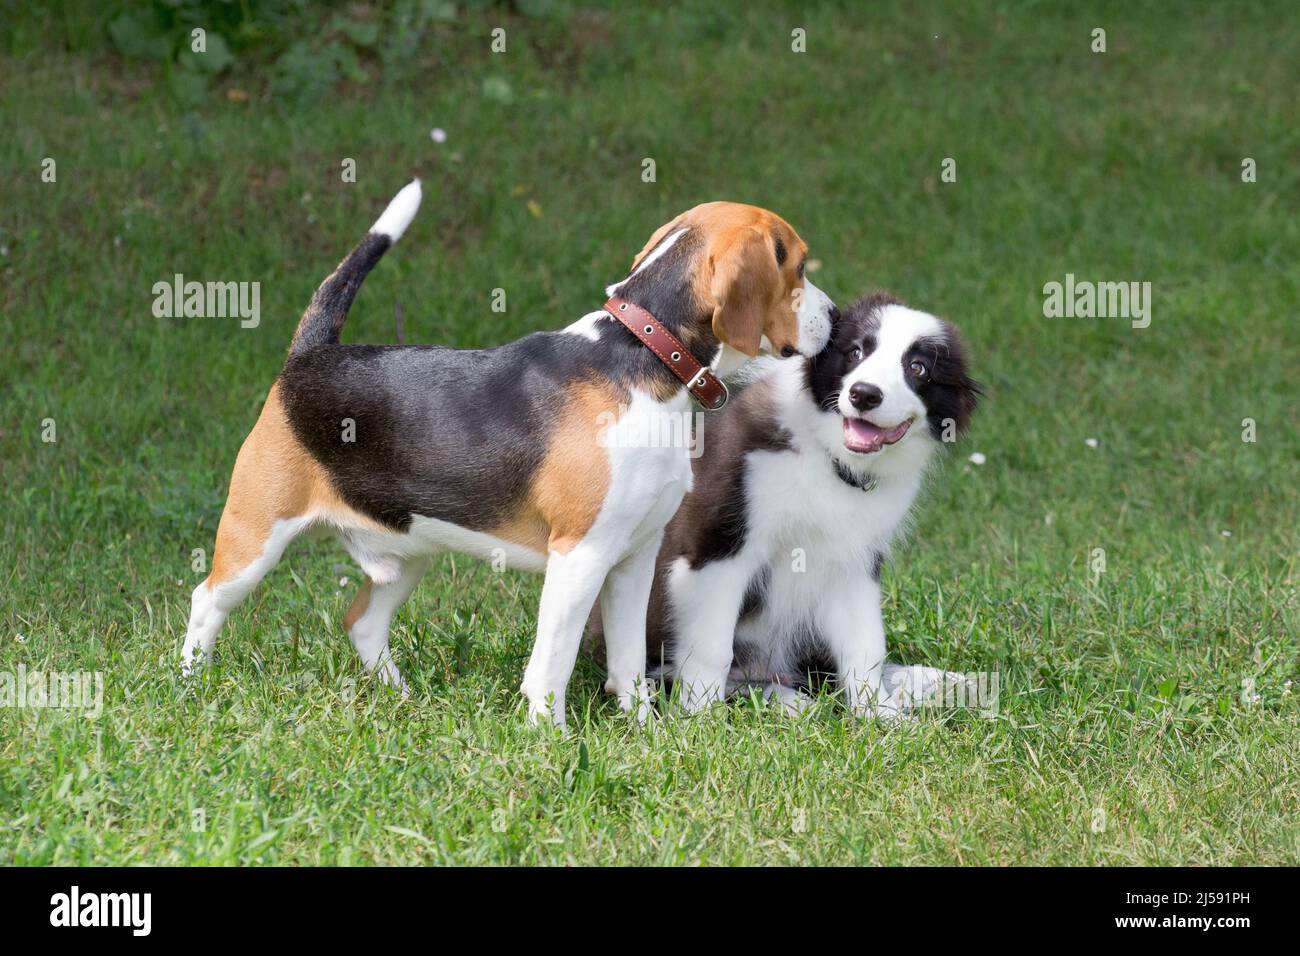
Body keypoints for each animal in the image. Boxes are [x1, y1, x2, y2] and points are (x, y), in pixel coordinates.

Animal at [180, 180, 832, 723]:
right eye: (799, 266)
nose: (833, 315)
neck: (645, 353)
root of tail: (310, 354)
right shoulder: (580, 557)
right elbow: (552, 666)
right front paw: (551, 737)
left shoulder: (633, 557)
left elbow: (628, 664)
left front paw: (645, 732)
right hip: (256, 535)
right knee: (206, 600)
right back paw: (188, 683)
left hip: (407, 549)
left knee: (362, 624)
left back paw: (403, 698)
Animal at [644, 295, 977, 712]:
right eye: (855, 352)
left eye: (917, 368)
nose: (864, 394)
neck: (832, 461)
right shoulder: (717, 550)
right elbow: (710, 648)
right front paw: (700, 717)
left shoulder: (854, 563)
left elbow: (865, 645)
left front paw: (881, 715)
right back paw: (785, 700)